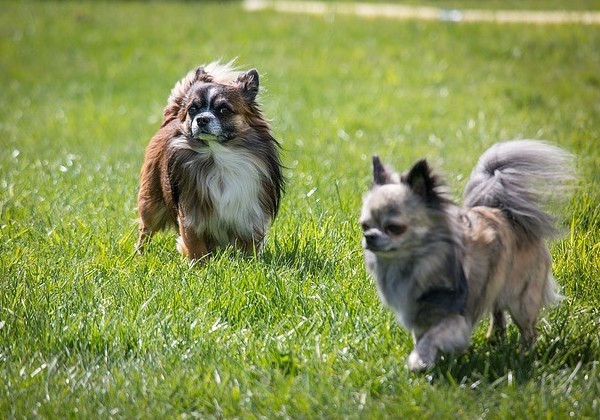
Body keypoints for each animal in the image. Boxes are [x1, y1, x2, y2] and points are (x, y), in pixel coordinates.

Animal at [137, 61, 284, 260]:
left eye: (224, 110)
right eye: (193, 109)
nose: (201, 119)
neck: (218, 156)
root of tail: (171, 117)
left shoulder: (249, 216)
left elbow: (250, 247)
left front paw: (249, 263)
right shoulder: (191, 216)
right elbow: (195, 247)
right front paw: (199, 266)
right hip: (151, 203)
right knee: (145, 230)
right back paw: (138, 255)